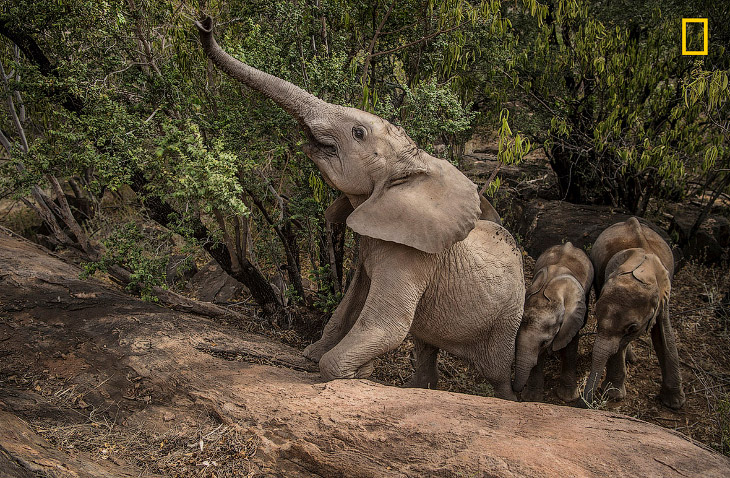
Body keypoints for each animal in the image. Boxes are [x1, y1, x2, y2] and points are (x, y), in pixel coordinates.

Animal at [193, 16, 524, 398]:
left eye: (358, 134)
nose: (205, 23)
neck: (414, 166)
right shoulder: (372, 245)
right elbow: (350, 302)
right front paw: (312, 353)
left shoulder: (409, 257)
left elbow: (387, 324)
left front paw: (358, 371)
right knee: (426, 346)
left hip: (510, 315)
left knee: (497, 372)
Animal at [512, 243, 592, 404]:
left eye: (545, 342)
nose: (513, 389)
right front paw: (532, 399)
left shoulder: (572, 318)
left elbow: (569, 348)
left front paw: (568, 398)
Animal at [580, 217, 684, 408]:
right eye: (595, 317)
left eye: (632, 328)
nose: (585, 403)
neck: (643, 271)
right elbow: (618, 344)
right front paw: (614, 395)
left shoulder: (664, 295)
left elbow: (664, 334)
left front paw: (675, 403)